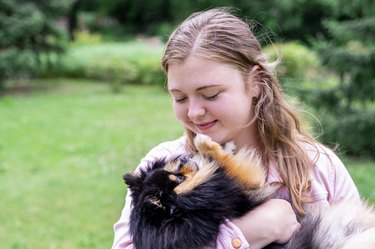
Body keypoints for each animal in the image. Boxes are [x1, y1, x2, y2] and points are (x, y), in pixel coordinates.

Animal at [124, 134, 375, 249]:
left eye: (173, 170)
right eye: (178, 179)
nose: (185, 158)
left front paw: (209, 147)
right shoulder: (244, 189)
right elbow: (231, 165)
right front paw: (207, 144)